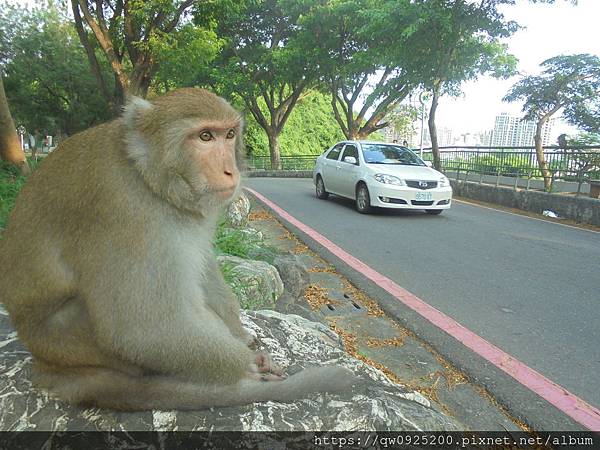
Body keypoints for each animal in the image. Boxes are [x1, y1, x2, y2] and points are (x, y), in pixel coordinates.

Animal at [0, 89, 356, 412]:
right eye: (205, 136)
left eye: (229, 134)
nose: (230, 170)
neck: (147, 175)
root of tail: (49, 365)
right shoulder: (123, 210)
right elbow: (139, 329)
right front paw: (245, 365)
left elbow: (202, 266)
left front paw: (242, 337)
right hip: (77, 342)